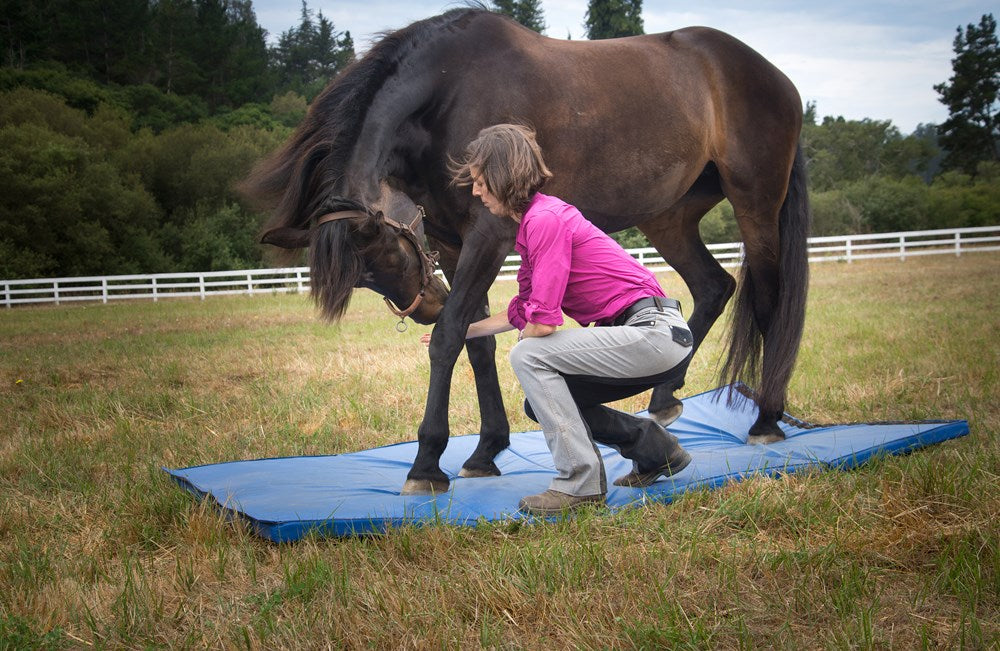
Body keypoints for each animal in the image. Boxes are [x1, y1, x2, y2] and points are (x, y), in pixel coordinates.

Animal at [242, 8, 810, 495]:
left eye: (388, 256)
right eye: (366, 278)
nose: (422, 308)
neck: (446, 91)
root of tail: (776, 77)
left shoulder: (488, 235)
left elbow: (449, 338)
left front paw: (427, 463)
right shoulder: (453, 242)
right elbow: (477, 340)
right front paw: (484, 453)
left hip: (756, 205)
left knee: (767, 303)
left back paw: (765, 420)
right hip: (669, 217)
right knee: (714, 287)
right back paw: (664, 398)